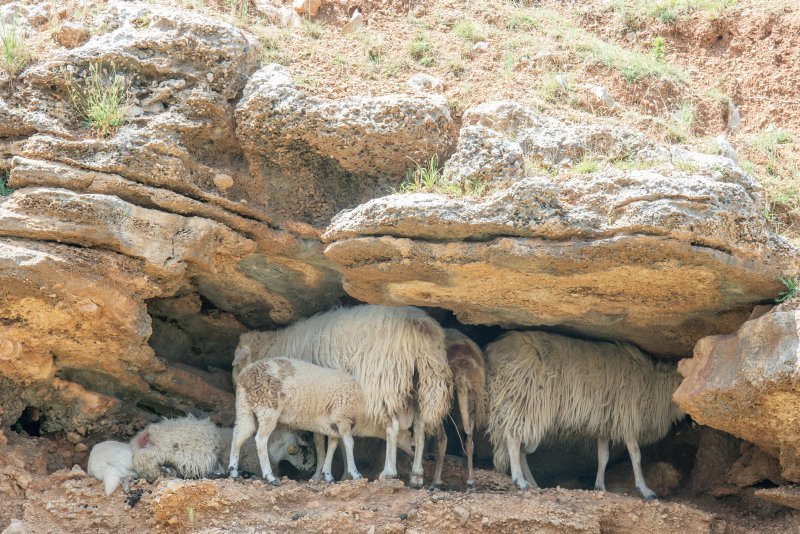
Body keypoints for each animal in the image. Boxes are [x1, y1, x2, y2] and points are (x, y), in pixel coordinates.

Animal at [227, 358, 410, 488]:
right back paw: (270, 476)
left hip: (244, 408)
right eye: (410, 431)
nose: (413, 451)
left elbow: (332, 447)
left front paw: (327, 475)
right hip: (268, 409)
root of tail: (245, 374)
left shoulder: (332, 426)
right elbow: (349, 443)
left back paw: (233, 471)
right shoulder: (342, 417)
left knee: (238, 436)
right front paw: (355, 473)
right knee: (260, 440)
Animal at [484, 332, 684, 500]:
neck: (655, 385)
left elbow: (603, 456)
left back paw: (532, 482)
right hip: (525, 399)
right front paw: (645, 490)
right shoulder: (627, 418)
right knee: (514, 438)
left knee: (521, 445)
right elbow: (636, 455)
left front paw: (600, 486)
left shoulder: (606, 422)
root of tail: (497, 352)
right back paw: (520, 481)